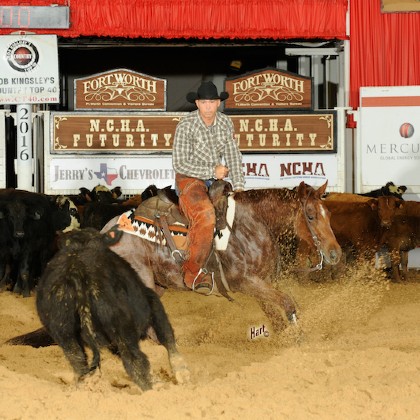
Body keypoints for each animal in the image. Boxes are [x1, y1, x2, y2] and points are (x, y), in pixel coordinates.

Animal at [36, 227, 189, 391]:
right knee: (134, 361)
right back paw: (154, 387)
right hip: (121, 326)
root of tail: (76, 272)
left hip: (63, 332)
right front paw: (181, 370)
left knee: (77, 360)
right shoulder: (151, 299)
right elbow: (166, 334)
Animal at [101, 181, 342, 331]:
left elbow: (277, 316)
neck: (251, 225)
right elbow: (288, 303)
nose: (335, 253)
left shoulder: (263, 282)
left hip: (158, 285)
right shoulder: (245, 282)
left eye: (329, 213)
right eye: (310, 216)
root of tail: (107, 230)